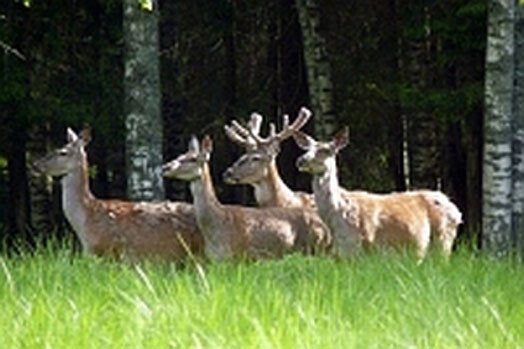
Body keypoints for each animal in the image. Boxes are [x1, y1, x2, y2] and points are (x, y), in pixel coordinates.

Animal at [294, 128, 462, 258]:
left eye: (326, 150)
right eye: (307, 148)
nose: (301, 160)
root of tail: (457, 211)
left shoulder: (356, 245)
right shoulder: (344, 250)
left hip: (443, 238)